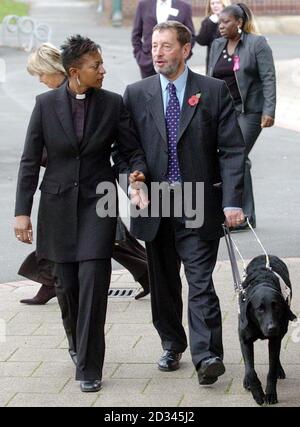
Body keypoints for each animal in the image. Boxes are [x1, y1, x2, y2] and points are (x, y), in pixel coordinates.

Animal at [238, 256, 296, 406]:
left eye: (277, 307)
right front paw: (257, 393)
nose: (272, 328)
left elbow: (271, 370)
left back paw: (279, 370)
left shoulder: (275, 339)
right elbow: (250, 370)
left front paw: (270, 393)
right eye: (260, 309)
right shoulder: (245, 340)